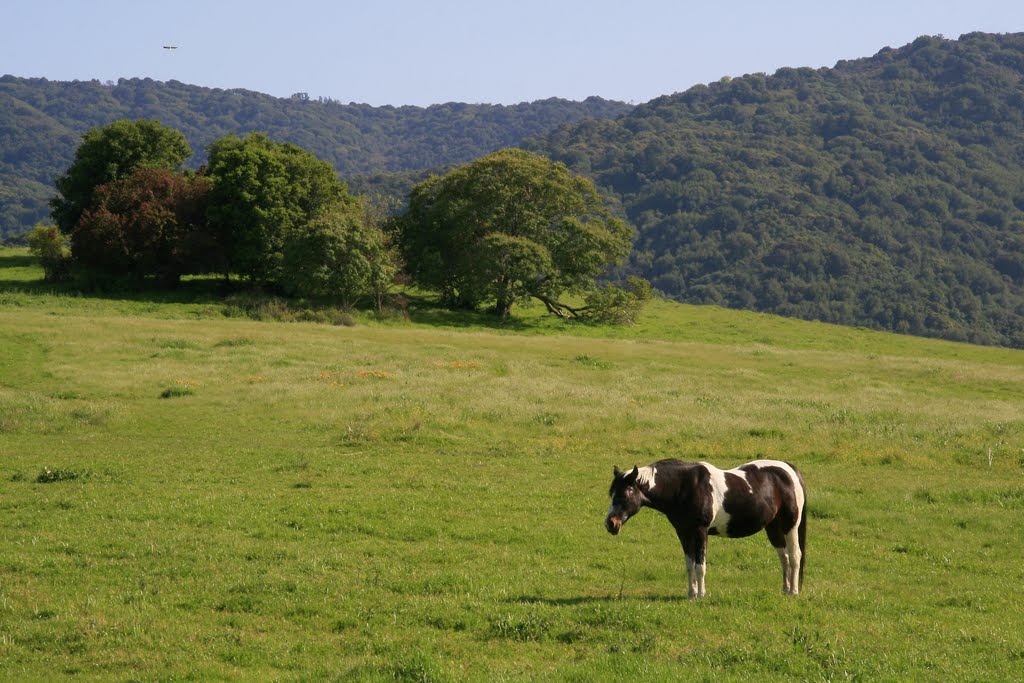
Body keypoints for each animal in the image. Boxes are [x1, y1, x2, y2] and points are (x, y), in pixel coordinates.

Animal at [598, 458, 806, 598]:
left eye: (626, 493)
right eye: (611, 493)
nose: (610, 524)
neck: (683, 486)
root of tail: (790, 470)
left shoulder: (700, 531)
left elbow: (700, 566)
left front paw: (700, 595)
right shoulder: (683, 532)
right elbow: (690, 565)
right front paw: (691, 594)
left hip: (790, 525)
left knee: (795, 555)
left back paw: (793, 591)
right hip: (773, 527)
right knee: (784, 557)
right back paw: (785, 588)